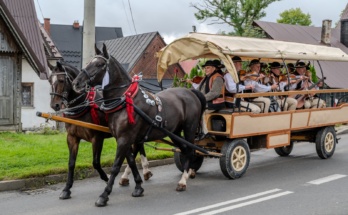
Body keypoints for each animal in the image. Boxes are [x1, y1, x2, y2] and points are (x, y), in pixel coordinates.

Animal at [48, 61, 153, 199]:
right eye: (49, 80)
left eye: (61, 80)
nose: (54, 105)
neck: (84, 104)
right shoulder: (72, 137)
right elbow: (71, 163)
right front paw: (66, 189)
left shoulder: (97, 138)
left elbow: (96, 163)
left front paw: (106, 178)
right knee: (136, 149)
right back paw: (137, 174)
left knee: (135, 149)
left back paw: (140, 172)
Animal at [71, 43, 205, 207]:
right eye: (89, 62)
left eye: (99, 64)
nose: (76, 83)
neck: (126, 100)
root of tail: (191, 92)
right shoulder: (124, 138)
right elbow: (131, 160)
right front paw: (138, 186)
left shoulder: (124, 138)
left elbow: (116, 166)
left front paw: (104, 195)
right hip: (175, 133)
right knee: (185, 150)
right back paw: (188, 174)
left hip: (189, 129)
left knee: (191, 151)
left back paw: (183, 181)